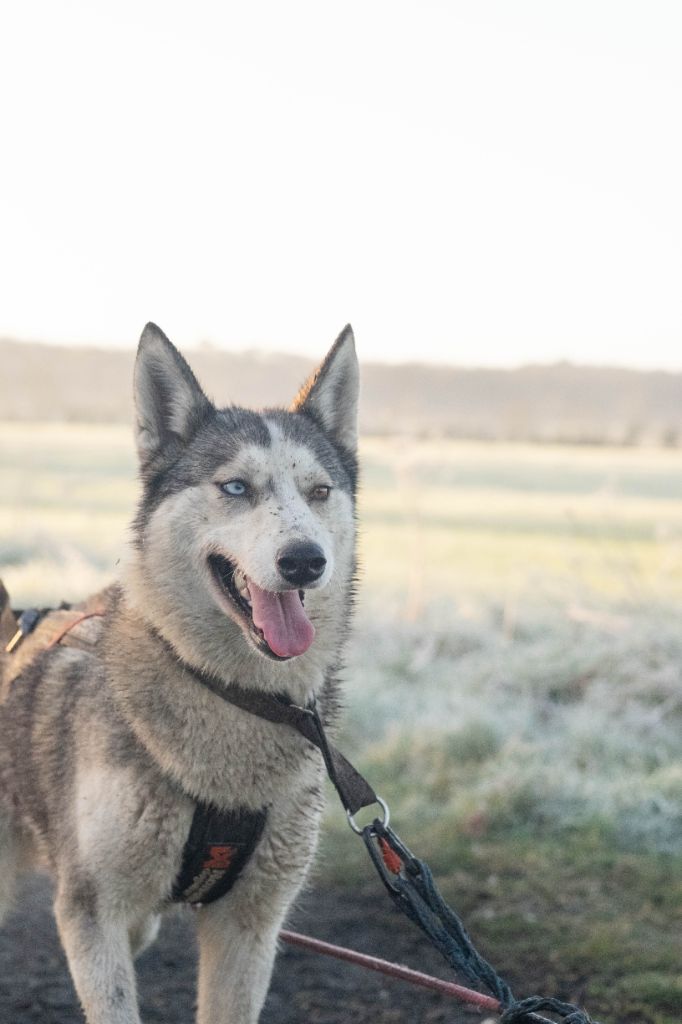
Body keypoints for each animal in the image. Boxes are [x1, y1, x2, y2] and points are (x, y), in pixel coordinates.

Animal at [0, 325, 358, 1024]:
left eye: (320, 492)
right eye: (236, 488)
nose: (305, 560)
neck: (233, 695)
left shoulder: (249, 925)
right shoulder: (91, 911)